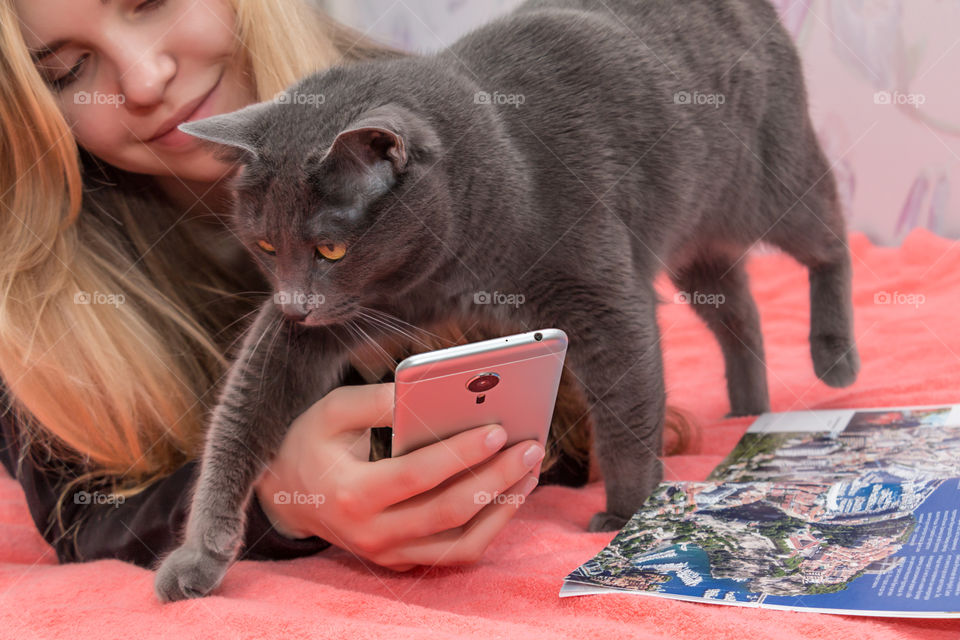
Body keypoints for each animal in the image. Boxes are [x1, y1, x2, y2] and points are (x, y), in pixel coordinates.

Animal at [152, 0, 864, 604]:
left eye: (330, 249)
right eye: (266, 245)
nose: (296, 304)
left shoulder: (604, 299)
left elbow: (627, 413)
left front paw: (626, 518)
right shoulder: (349, 310)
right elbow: (241, 410)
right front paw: (198, 557)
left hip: (769, 183)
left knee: (829, 236)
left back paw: (834, 360)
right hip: (696, 239)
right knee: (738, 308)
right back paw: (749, 404)